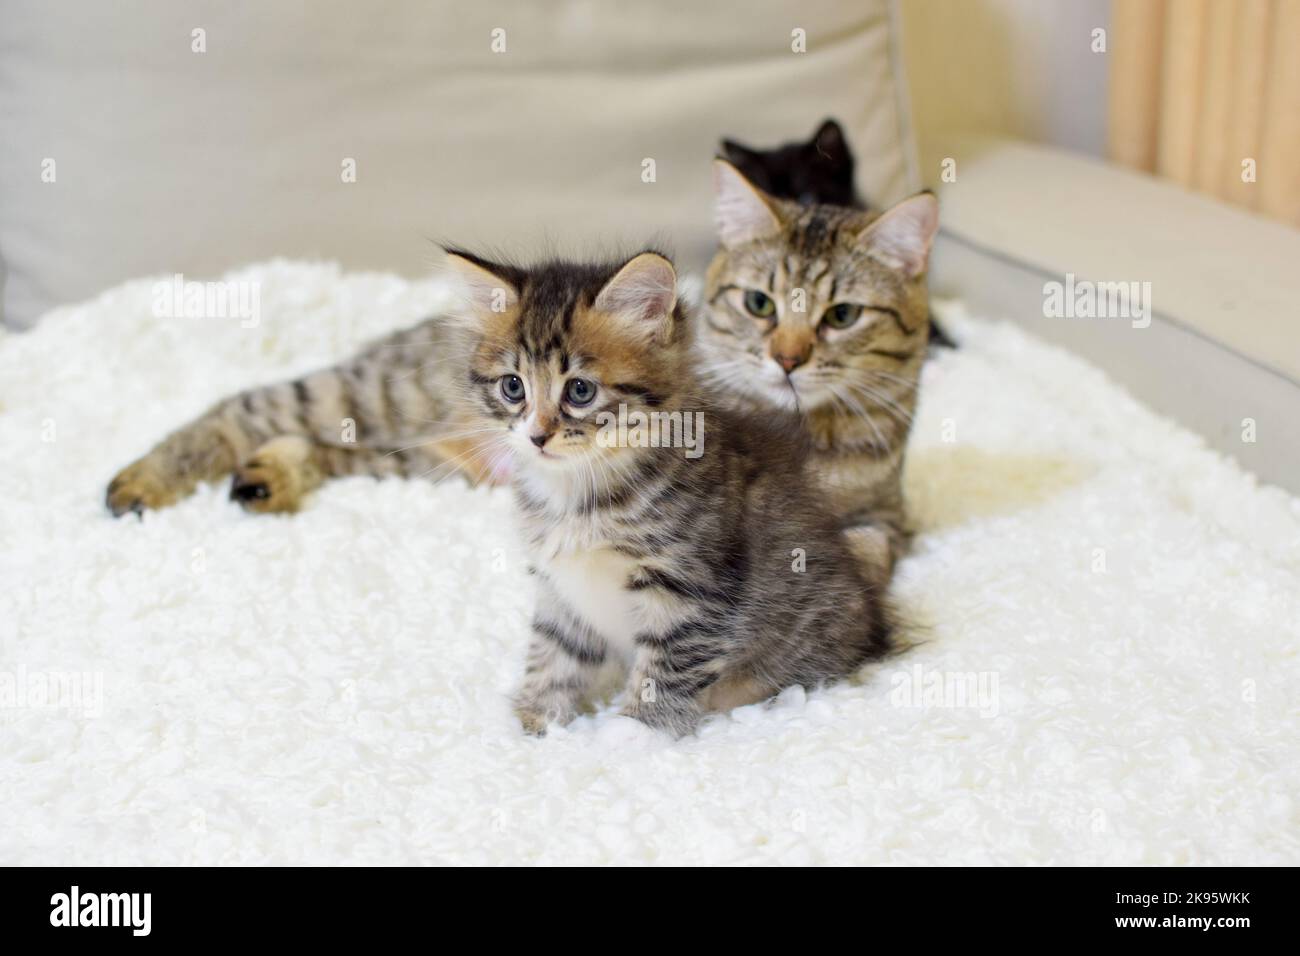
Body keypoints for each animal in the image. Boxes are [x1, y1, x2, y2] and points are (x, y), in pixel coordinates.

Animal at [441, 248, 889, 738]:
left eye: (580, 390)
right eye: (513, 386)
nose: (537, 437)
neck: (580, 493)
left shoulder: (693, 586)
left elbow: (666, 666)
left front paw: (632, 735)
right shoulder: (560, 588)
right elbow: (554, 653)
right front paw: (534, 723)